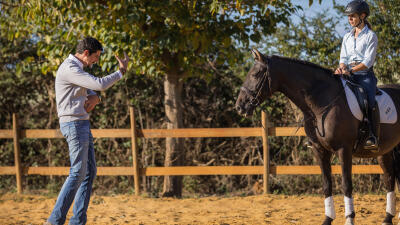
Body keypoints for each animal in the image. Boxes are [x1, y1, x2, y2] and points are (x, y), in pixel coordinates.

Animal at [236, 49, 400, 225]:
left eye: (256, 74)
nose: (239, 106)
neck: (321, 104)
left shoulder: (344, 150)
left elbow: (346, 185)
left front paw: (349, 220)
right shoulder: (319, 150)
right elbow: (326, 185)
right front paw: (327, 219)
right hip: (385, 150)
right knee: (389, 178)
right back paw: (388, 218)